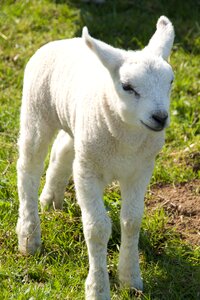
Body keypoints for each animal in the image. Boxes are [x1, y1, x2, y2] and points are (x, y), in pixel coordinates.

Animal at [16, 16, 174, 300]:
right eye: (127, 87)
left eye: (171, 82)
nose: (160, 117)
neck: (127, 140)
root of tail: (61, 41)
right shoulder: (87, 172)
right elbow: (97, 229)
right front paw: (98, 288)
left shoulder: (141, 169)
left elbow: (132, 221)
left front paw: (130, 278)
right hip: (37, 112)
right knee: (28, 170)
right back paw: (29, 235)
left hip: (77, 128)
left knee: (61, 149)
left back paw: (51, 199)